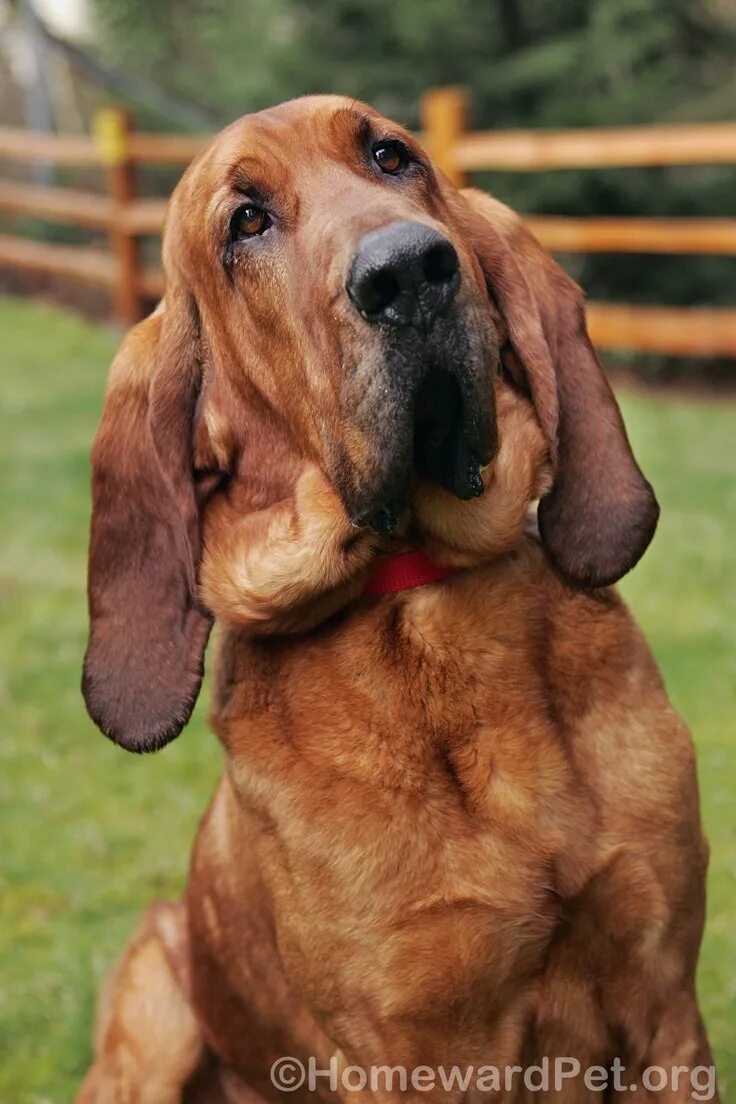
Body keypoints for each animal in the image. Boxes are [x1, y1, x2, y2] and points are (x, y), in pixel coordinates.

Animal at [77, 97, 715, 1104]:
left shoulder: (666, 1017)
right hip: (153, 1015)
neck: (420, 587)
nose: (409, 271)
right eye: (245, 222)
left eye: (391, 156)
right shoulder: (414, 1053)